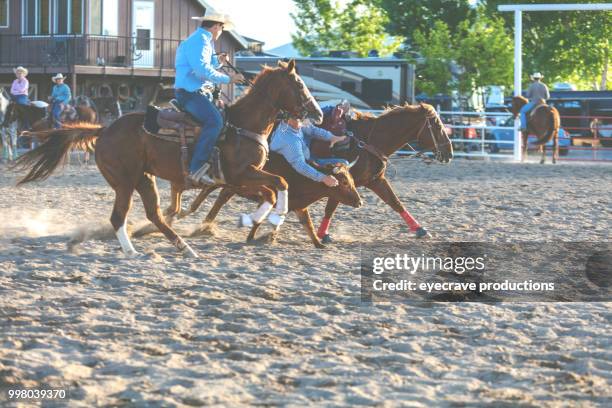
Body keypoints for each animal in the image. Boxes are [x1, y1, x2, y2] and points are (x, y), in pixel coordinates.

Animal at [13, 59, 320, 258]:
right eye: (298, 84)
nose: (317, 113)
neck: (242, 125)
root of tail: (104, 129)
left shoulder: (241, 179)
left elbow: (272, 190)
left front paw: (257, 219)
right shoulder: (240, 175)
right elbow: (279, 184)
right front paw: (269, 218)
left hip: (144, 178)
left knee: (155, 214)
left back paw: (184, 247)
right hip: (124, 181)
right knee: (119, 216)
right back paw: (132, 251)